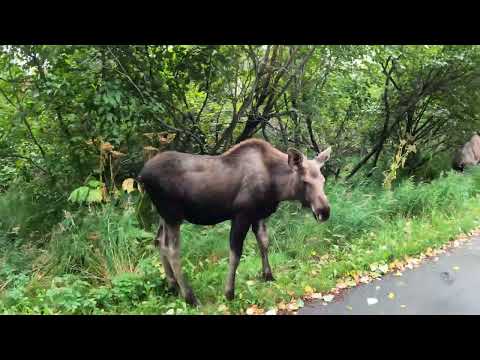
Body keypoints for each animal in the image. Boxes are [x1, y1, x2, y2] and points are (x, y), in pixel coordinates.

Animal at [137, 139, 332, 306]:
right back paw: (190, 298)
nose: (324, 211)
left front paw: (268, 276)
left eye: (323, 180)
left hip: (163, 216)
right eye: (305, 181)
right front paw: (229, 293)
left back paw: (173, 287)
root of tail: (141, 176)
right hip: (173, 215)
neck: (278, 187)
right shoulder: (241, 214)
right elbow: (235, 254)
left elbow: (264, 242)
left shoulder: (257, 215)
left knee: (159, 241)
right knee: (172, 249)